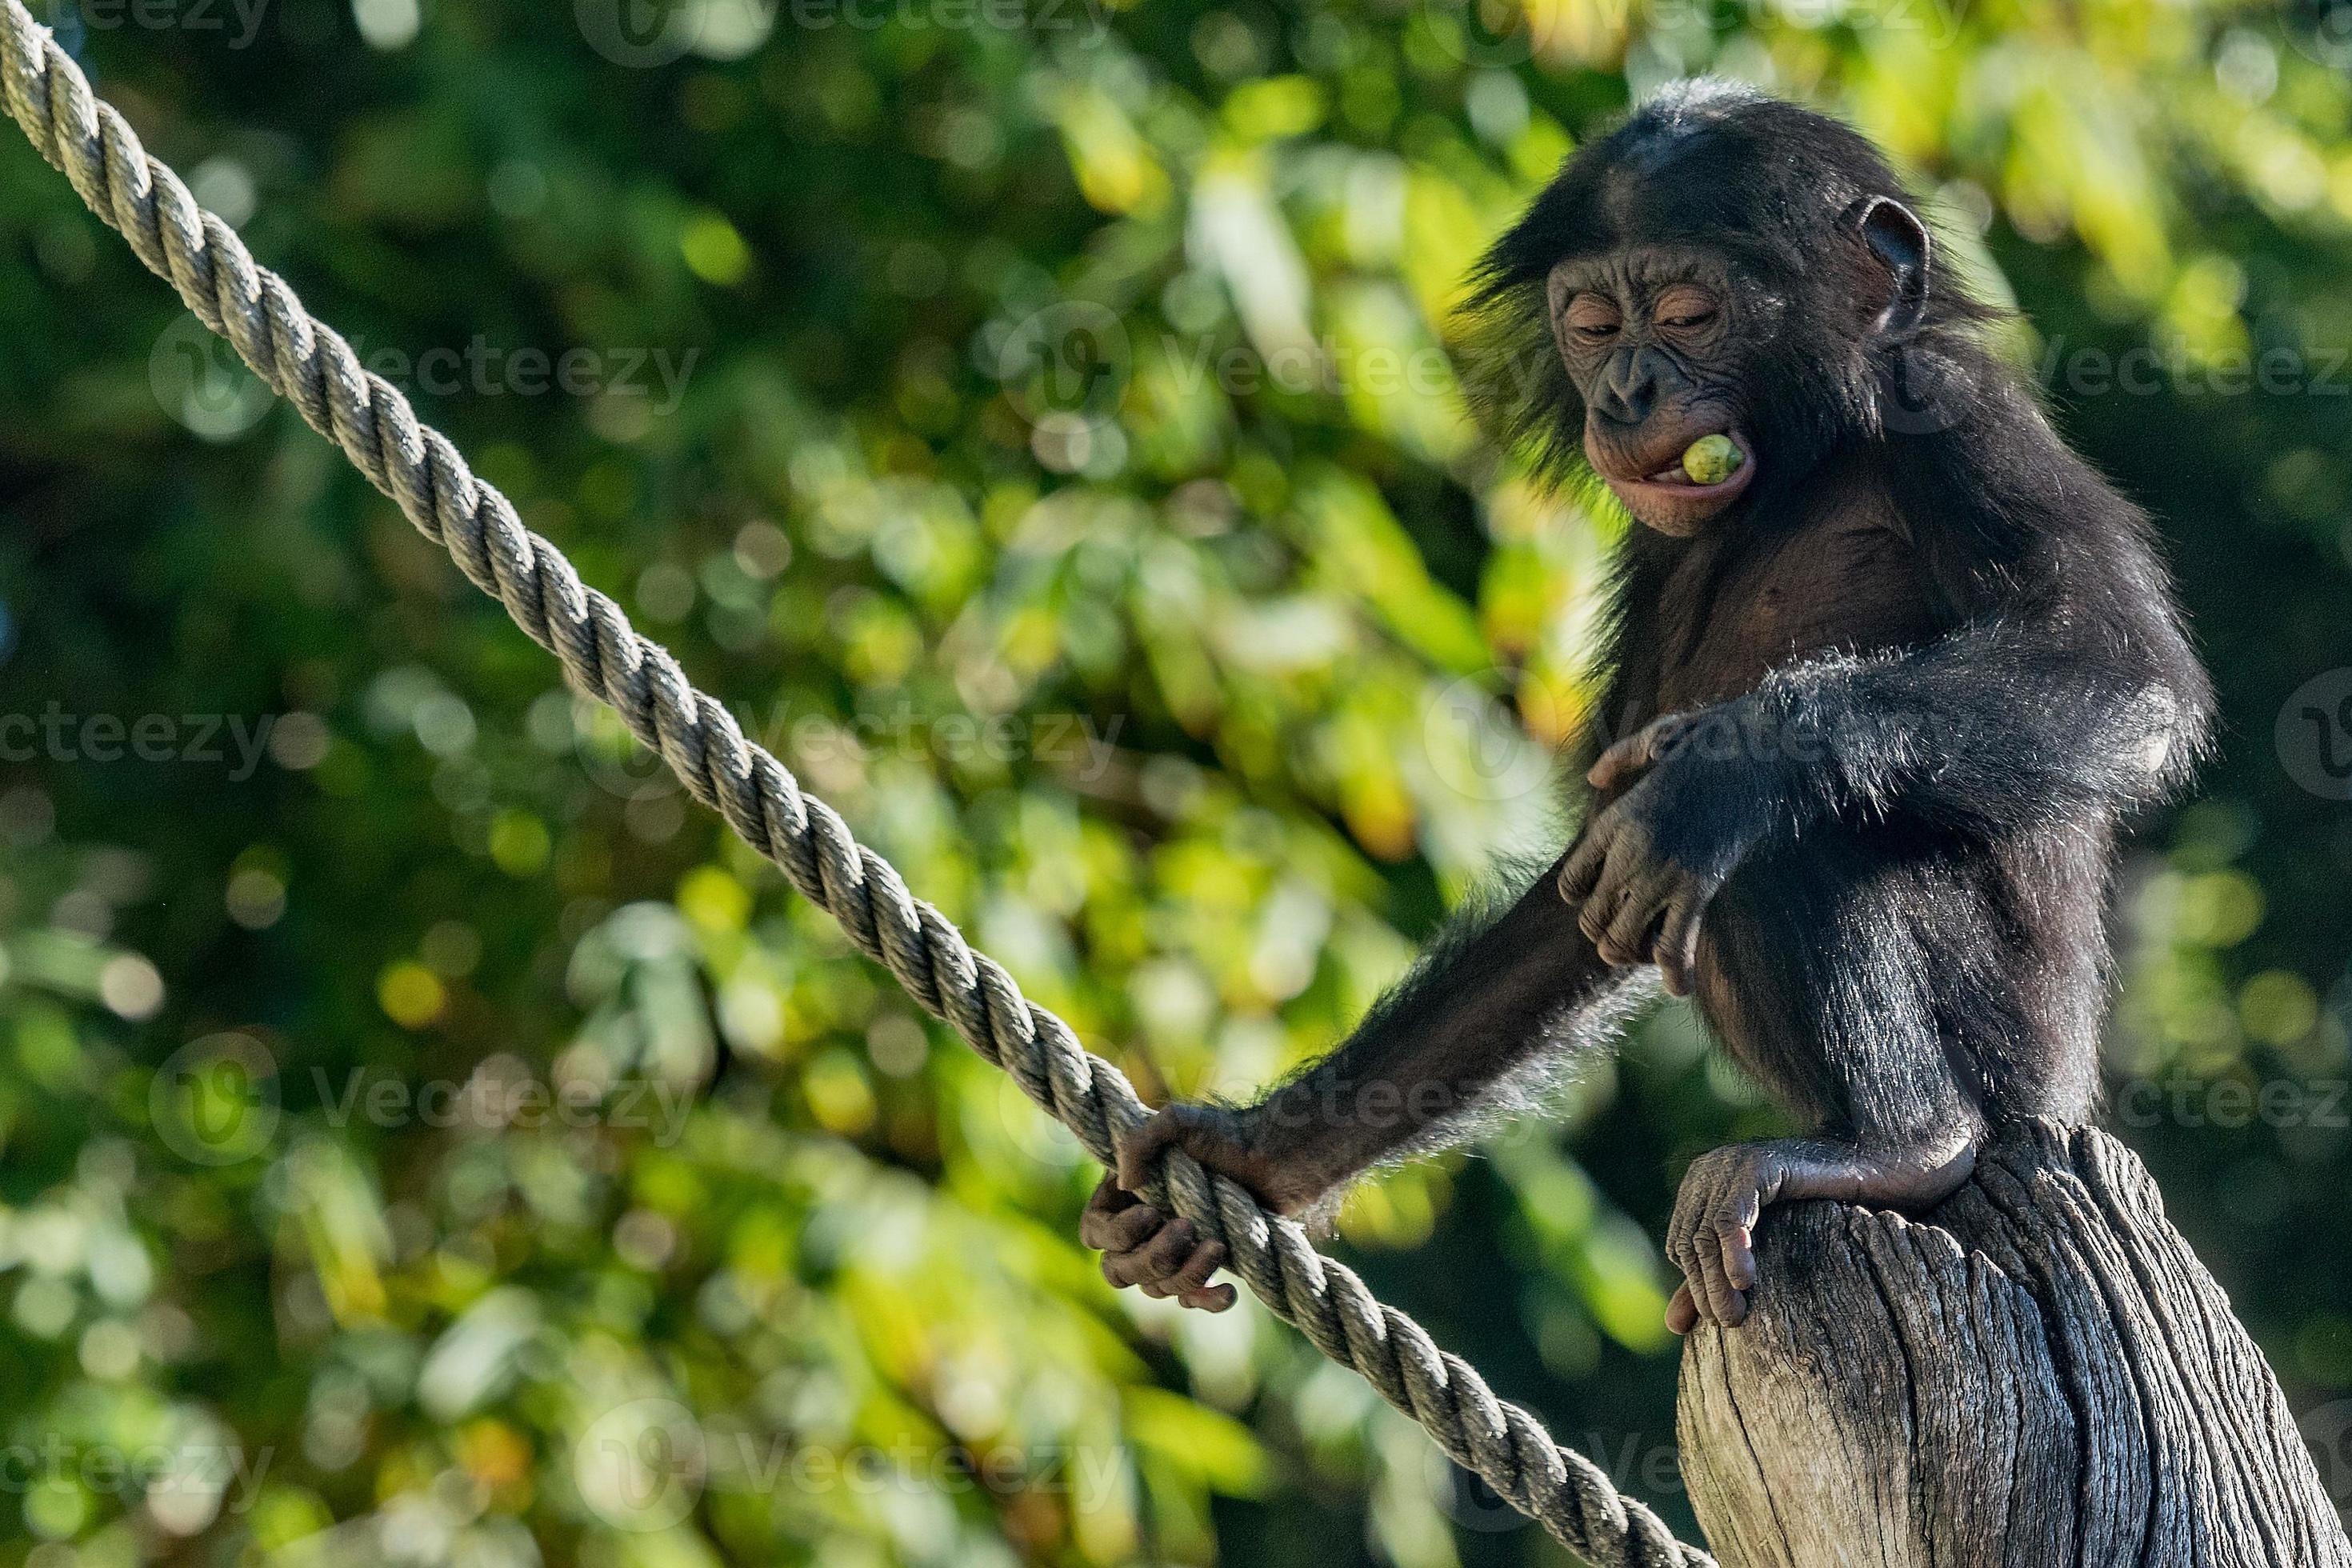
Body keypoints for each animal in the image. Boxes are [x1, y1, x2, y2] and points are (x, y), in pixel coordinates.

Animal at [1082, 82, 2201, 1335]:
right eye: (1591, 323)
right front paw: (1253, 1158)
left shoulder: (1958, 421)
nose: (1627, 390)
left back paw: (1899, 1142)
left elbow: (2117, 667)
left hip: (2008, 1066)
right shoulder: (1652, 562)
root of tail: (2064, 1109)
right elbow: (1580, 886)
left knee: (1795, 839)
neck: (1808, 460)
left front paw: (1725, 773)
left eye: (1685, 311)